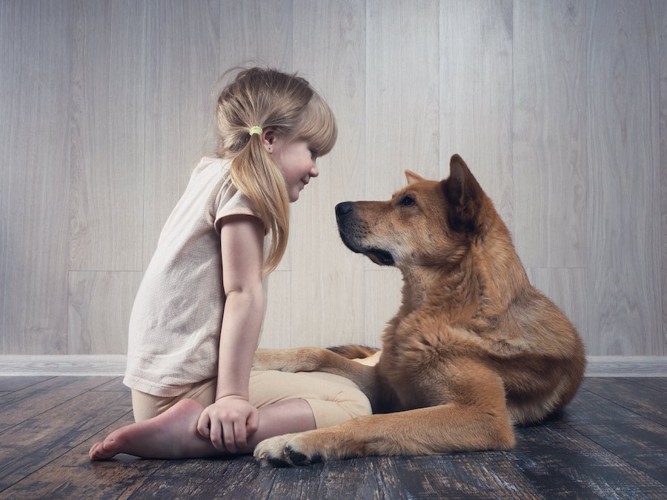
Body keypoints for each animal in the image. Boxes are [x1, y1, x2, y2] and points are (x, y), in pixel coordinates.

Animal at [253, 154, 588, 466]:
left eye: (407, 202)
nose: (339, 207)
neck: (449, 310)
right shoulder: (384, 383)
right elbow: (316, 353)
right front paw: (261, 357)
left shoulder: (484, 415)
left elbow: (377, 421)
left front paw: (298, 439)